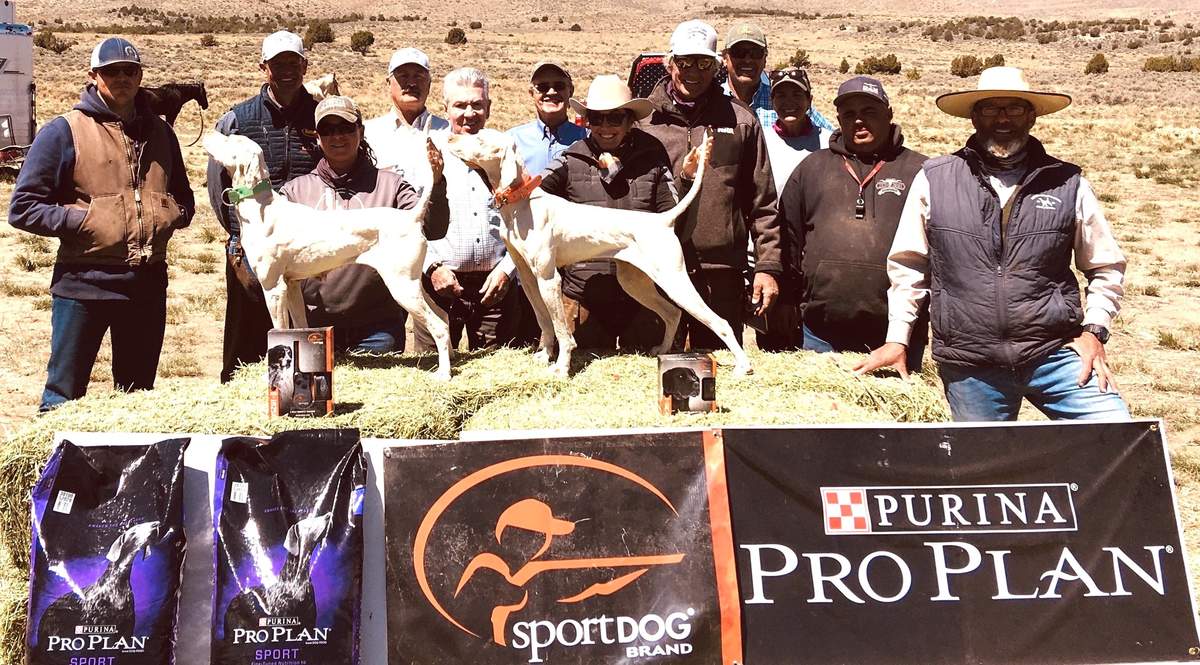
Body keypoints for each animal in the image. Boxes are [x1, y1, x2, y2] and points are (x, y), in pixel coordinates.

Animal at [204, 130, 451, 376]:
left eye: (231, 140)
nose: (210, 132)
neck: (261, 206)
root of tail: (412, 216)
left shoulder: (273, 288)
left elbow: (277, 330)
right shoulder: (291, 285)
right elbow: (299, 327)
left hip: (402, 287)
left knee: (438, 326)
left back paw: (444, 374)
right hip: (413, 283)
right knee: (444, 317)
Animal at [451, 126, 748, 374]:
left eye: (480, 138)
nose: (452, 137)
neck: (522, 203)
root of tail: (663, 220)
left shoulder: (549, 279)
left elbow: (563, 332)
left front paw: (561, 368)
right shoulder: (529, 278)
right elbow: (544, 321)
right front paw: (544, 355)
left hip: (674, 280)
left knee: (720, 322)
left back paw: (743, 366)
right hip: (634, 281)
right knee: (672, 313)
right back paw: (662, 351)